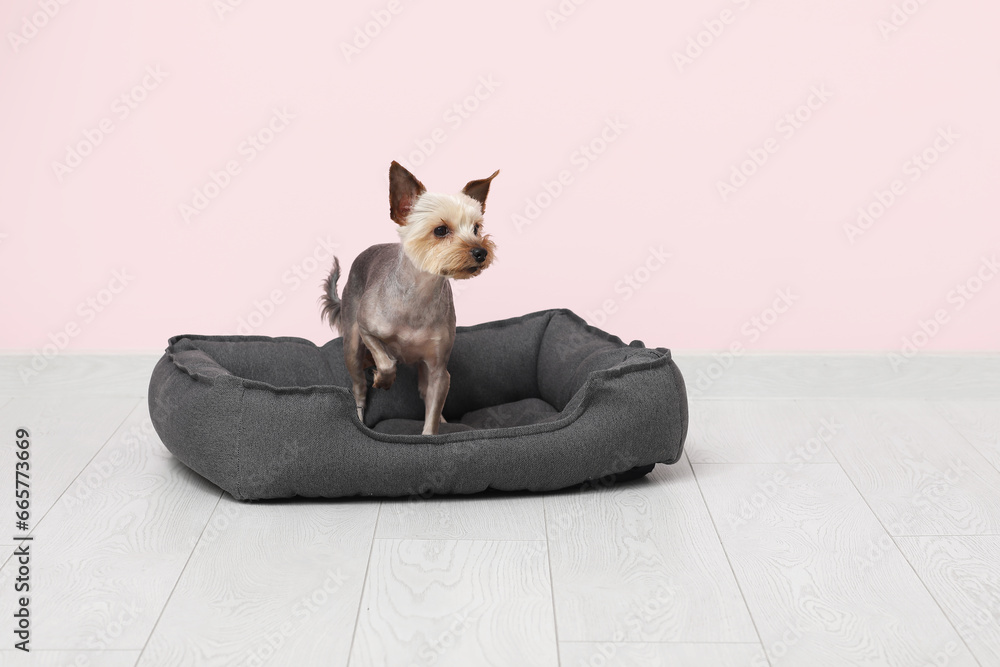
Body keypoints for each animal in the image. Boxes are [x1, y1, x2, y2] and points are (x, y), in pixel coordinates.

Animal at [322, 160, 498, 436]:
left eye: (476, 228)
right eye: (440, 230)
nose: (481, 251)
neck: (420, 294)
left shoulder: (438, 370)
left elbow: (431, 416)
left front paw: (431, 431)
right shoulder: (366, 329)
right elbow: (386, 361)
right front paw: (383, 380)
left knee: (426, 394)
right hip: (351, 345)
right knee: (359, 390)